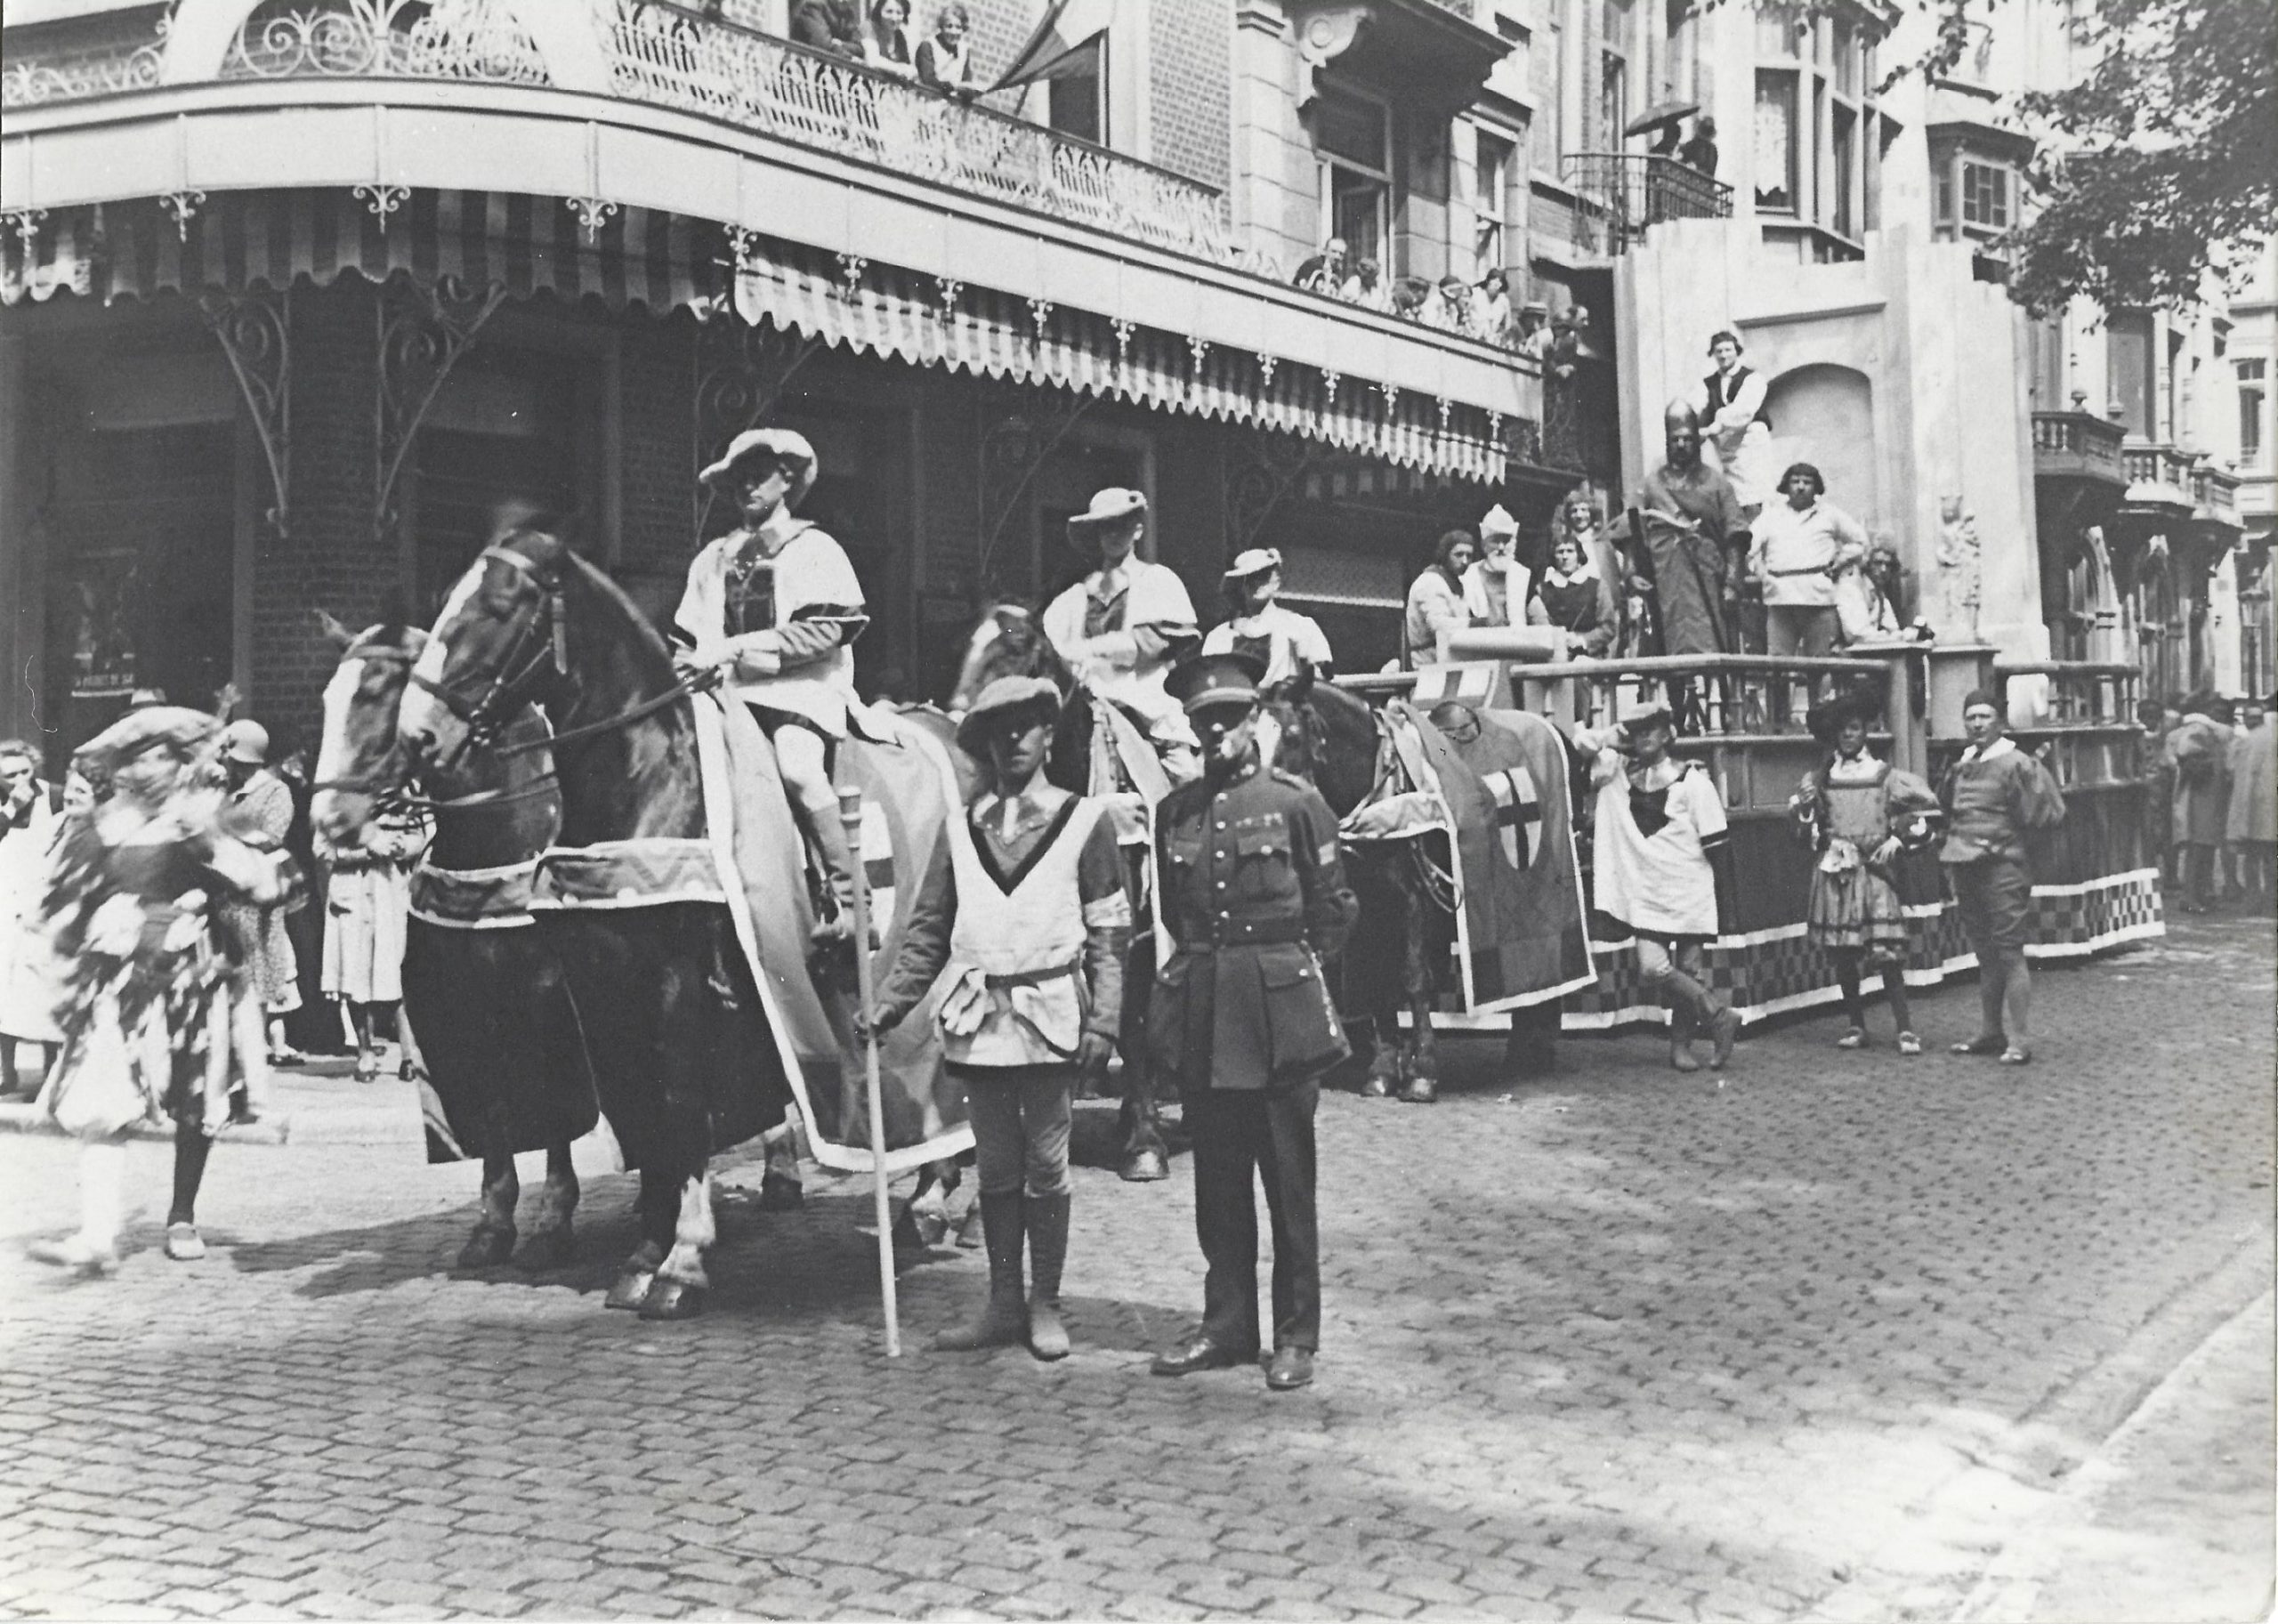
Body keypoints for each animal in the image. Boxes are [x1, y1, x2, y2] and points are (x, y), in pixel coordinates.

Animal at [310, 615, 596, 1275]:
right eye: (328, 699)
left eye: (375, 696)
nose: (325, 818)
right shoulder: (473, 1006)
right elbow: (495, 1112)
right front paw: (492, 1223)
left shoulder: (553, 1009)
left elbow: (556, 1110)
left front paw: (552, 1222)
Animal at [400, 519, 802, 1321]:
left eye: (497, 607)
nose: (419, 737)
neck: (645, 785)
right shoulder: (603, 984)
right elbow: (642, 1110)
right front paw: (645, 1251)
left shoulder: (677, 982)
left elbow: (680, 1100)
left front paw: (683, 1260)